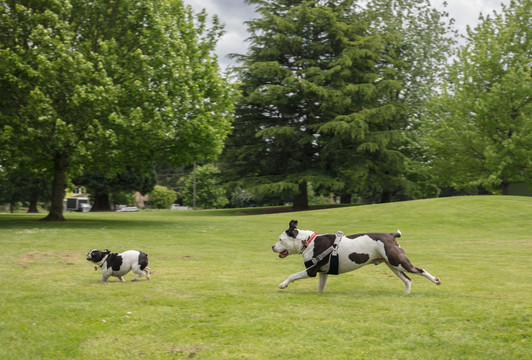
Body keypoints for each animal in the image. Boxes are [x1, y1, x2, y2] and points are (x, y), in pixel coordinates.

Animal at [272, 219, 442, 292]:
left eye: (280, 239)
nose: (272, 247)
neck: (308, 241)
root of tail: (391, 235)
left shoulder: (312, 270)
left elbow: (293, 275)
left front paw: (283, 284)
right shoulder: (322, 273)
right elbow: (320, 287)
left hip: (398, 261)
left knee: (419, 270)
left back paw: (435, 281)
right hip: (393, 265)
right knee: (407, 279)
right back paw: (406, 294)